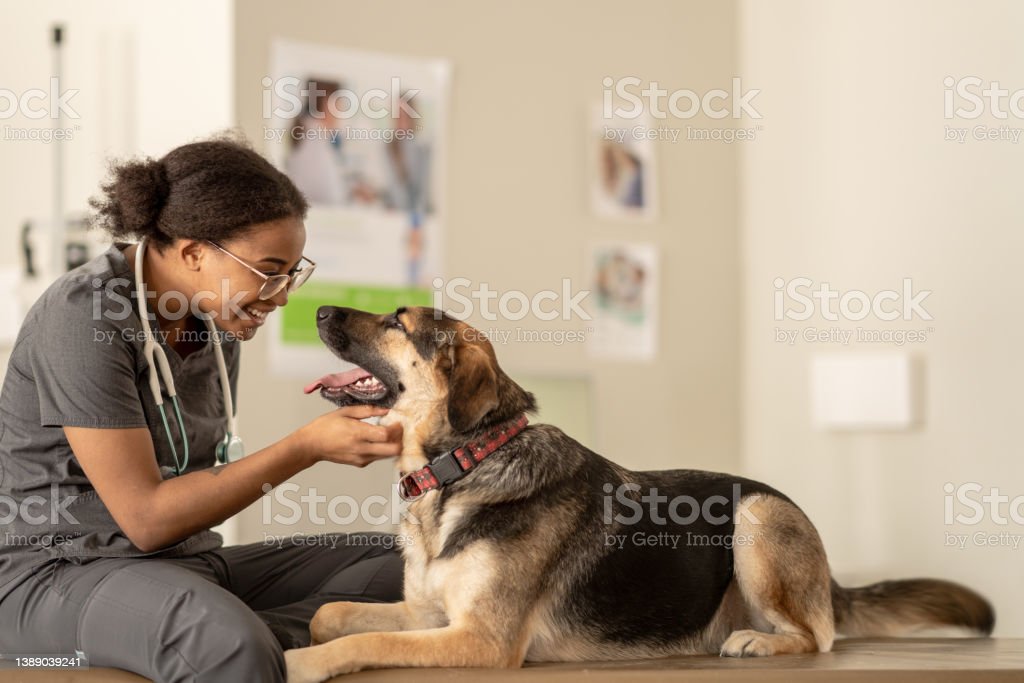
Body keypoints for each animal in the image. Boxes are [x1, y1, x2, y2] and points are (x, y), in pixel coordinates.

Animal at [284, 307, 995, 679]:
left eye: (396, 323)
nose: (316, 309)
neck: (465, 465)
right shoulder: (432, 617)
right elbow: (332, 615)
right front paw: (308, 637)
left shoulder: (483, 640)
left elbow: (363, 643)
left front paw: (301, 664)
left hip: (758, 515)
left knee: (818, 637)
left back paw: (760, 642)